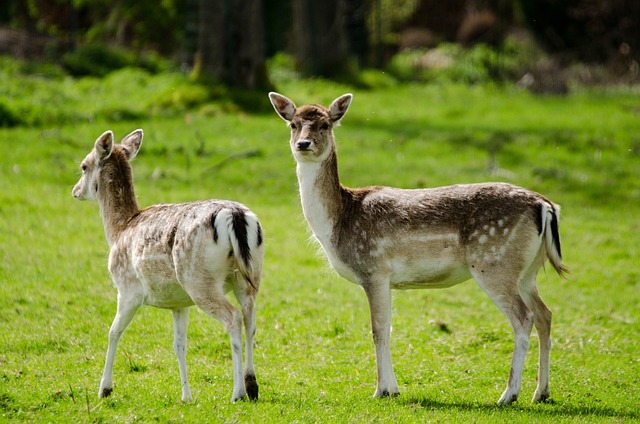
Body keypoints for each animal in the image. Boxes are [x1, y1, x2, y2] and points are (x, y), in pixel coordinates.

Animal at [74, 131, 264, 402]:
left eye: (84, 166)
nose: (75, 191)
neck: (119, 230)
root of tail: (234, 215)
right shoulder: (179, 303)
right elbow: (179, 344)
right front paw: (186, 396)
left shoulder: (127, 289)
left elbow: (113, 332)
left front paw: (105, 389)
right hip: (249, 276)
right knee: (250, 319)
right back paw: (252, 387)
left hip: (199, 281)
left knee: (233, 317)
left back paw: (237, 392)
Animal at [268, 92, 568, 404]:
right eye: (293, 124)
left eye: (325, 125)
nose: (304, 144)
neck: (339, 221)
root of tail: (546, 206)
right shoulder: (386, 279)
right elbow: (388, 328)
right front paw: (394, 389)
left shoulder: (373, 269)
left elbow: (377, 329)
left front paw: (381, 390)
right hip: (527, 271)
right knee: (545, 314)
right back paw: (541, 392)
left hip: (495, 263)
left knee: (524, 318)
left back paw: (508, 394)